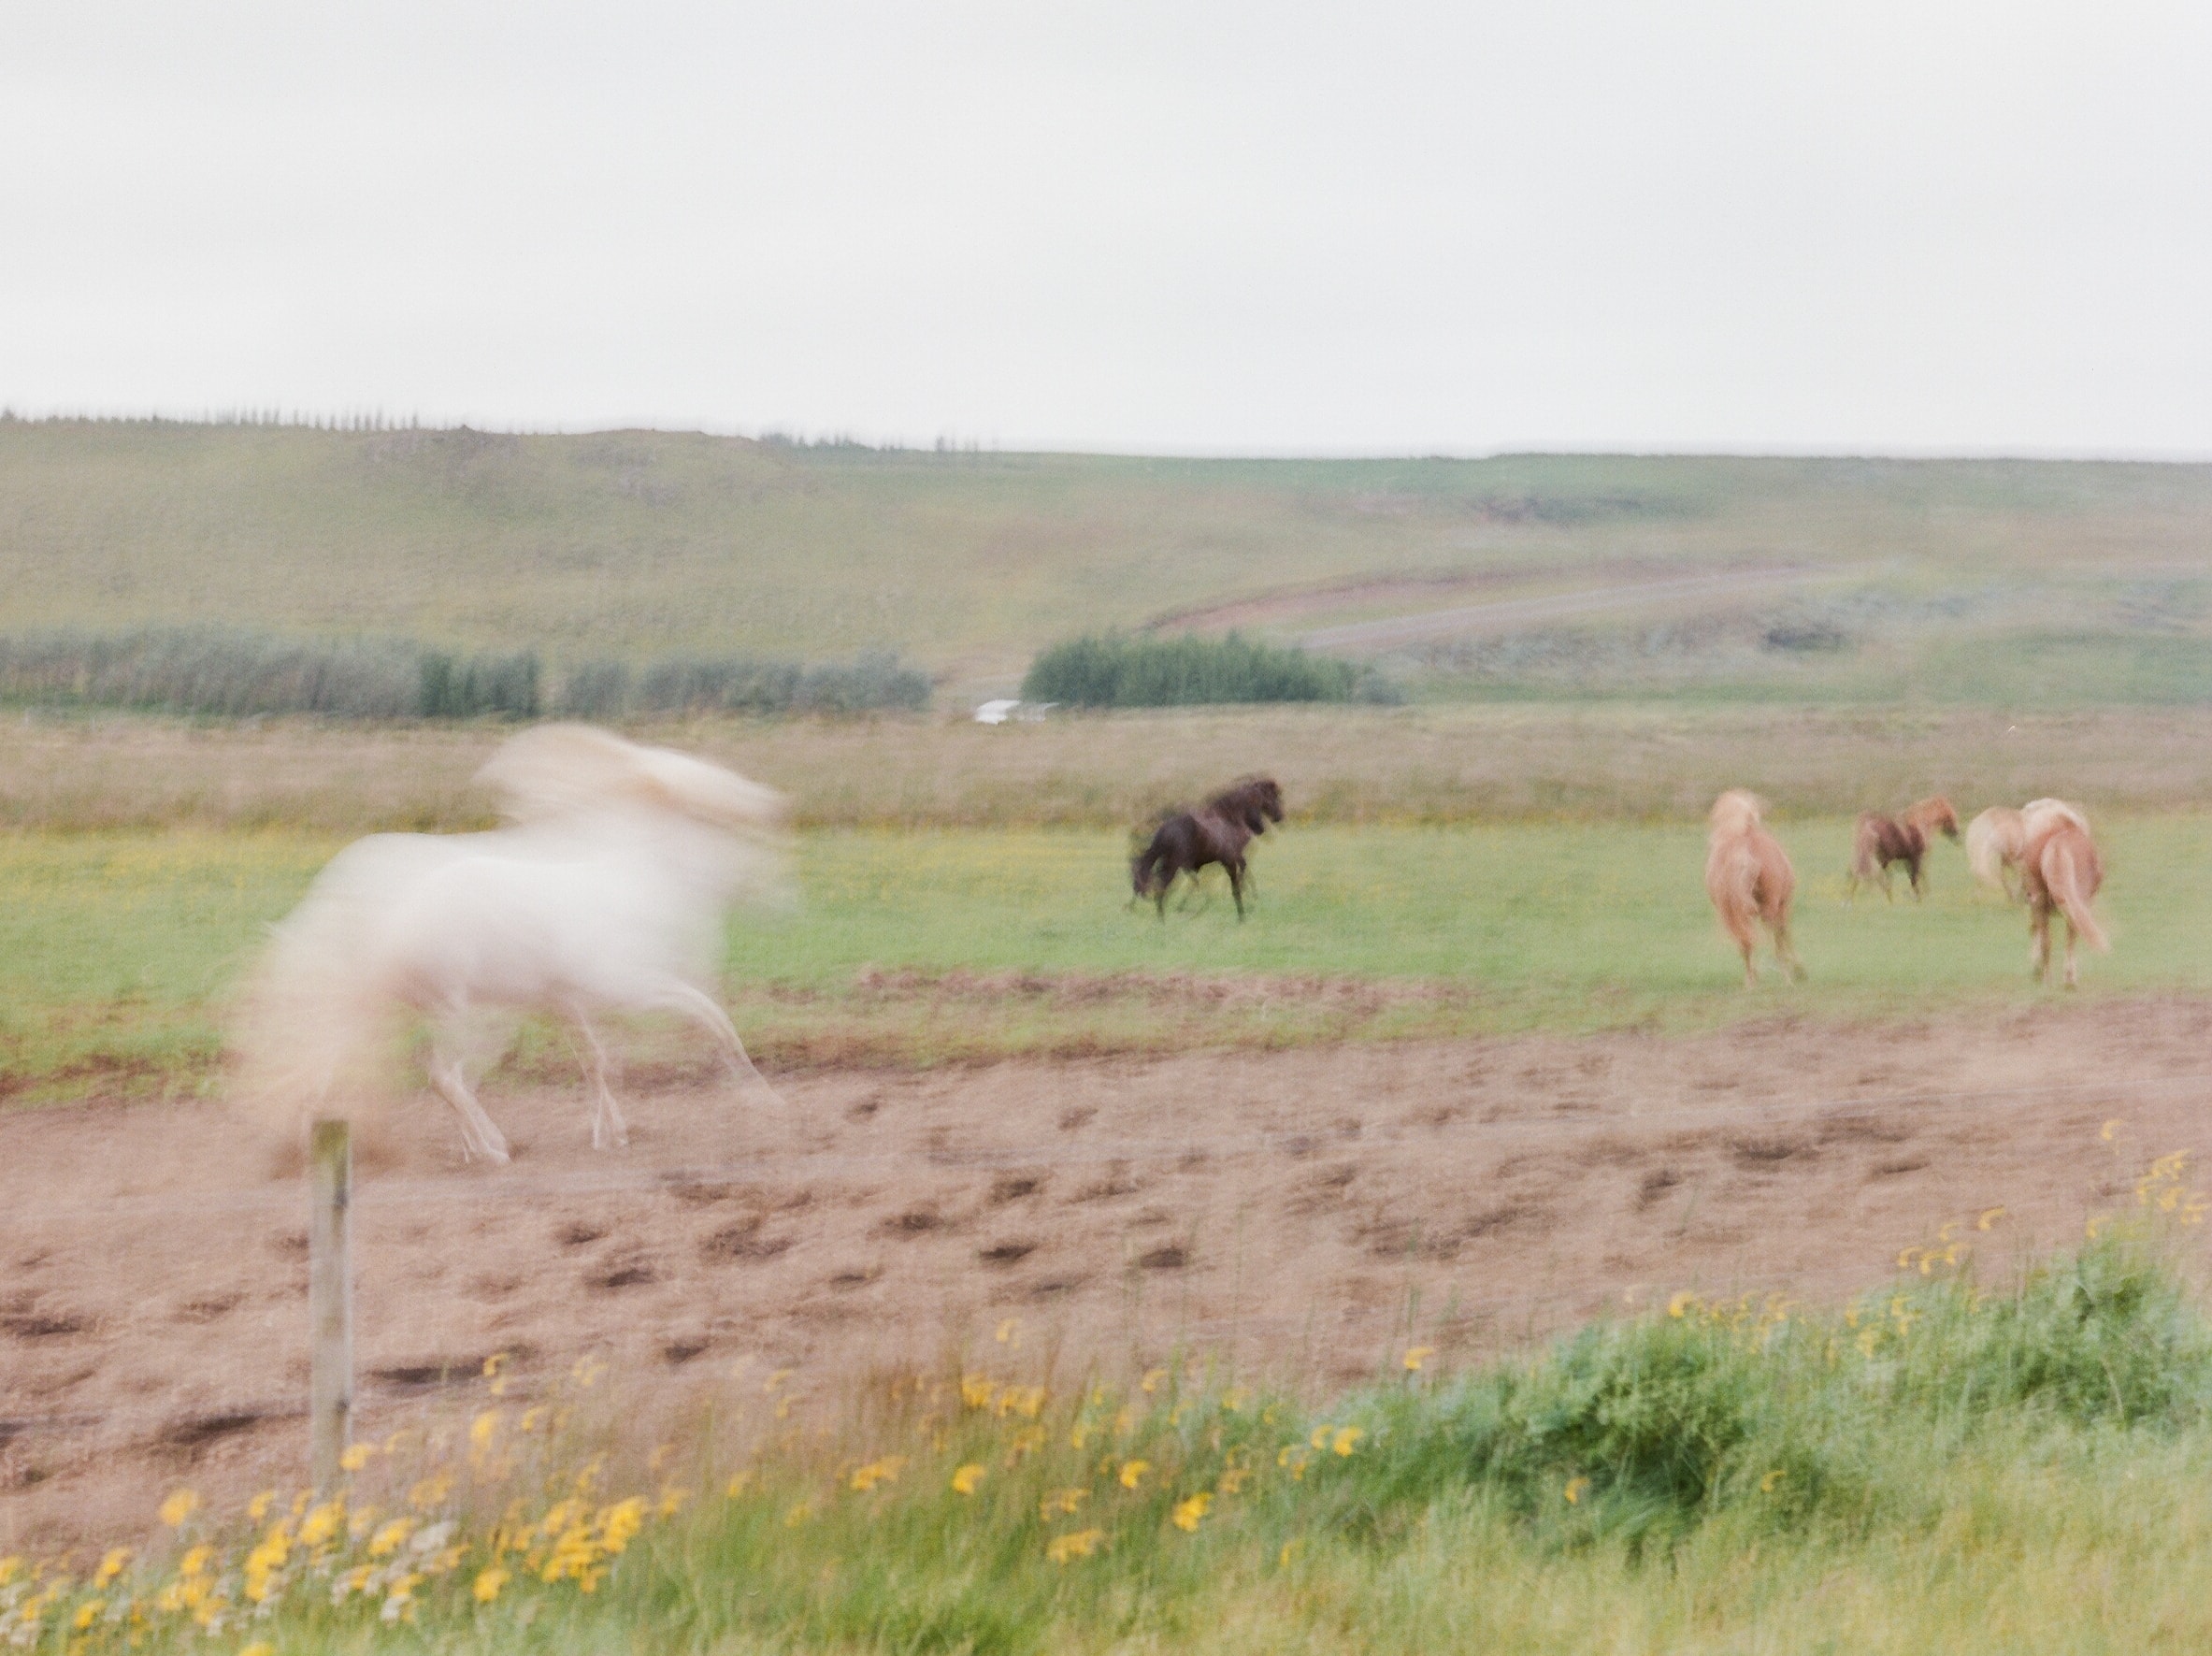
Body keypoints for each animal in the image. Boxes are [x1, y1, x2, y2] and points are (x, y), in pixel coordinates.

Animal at [237, 725, 792, 1158]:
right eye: (738, 829)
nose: (785, 903)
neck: (636, 877)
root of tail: (384, 932)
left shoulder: (565, 1001)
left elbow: (597, 1060)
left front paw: (610, 1135)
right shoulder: (631, 988)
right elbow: (713, 1019)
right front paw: (766, 1101)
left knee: (366, 1064)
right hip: (457, 1012)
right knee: (442, 1075)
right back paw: (491, 1148)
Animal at [1132, 773, 1291, 914]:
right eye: (1273, 796)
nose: (1279, 816)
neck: (1230, 818)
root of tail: (1164, 830)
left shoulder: (1230, 857)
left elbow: (1242, 870)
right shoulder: (1231, 856)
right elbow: (1240, 873)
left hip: (1169, 861)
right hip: (1174, 862)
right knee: (1163, 886)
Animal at [1699, 786, 1804, 981]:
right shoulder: (1784, 904)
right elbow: (1784, 933)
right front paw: (1798, 969)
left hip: (1736, 912)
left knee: (1746, 942)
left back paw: (1752, 980)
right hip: (1770, 906)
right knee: (1774, 935)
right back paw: (1787, 977)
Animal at [1840, 791, 1964, 897]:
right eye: (1950, 811)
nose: (1958, 833)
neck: (1920, 825)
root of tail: (1867, 822)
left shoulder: (1907, 860)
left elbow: (1916, 876)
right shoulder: (1916, 858)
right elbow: (1917, 876)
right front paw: (1920, 895)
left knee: (1858, 872)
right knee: (1869, 874)